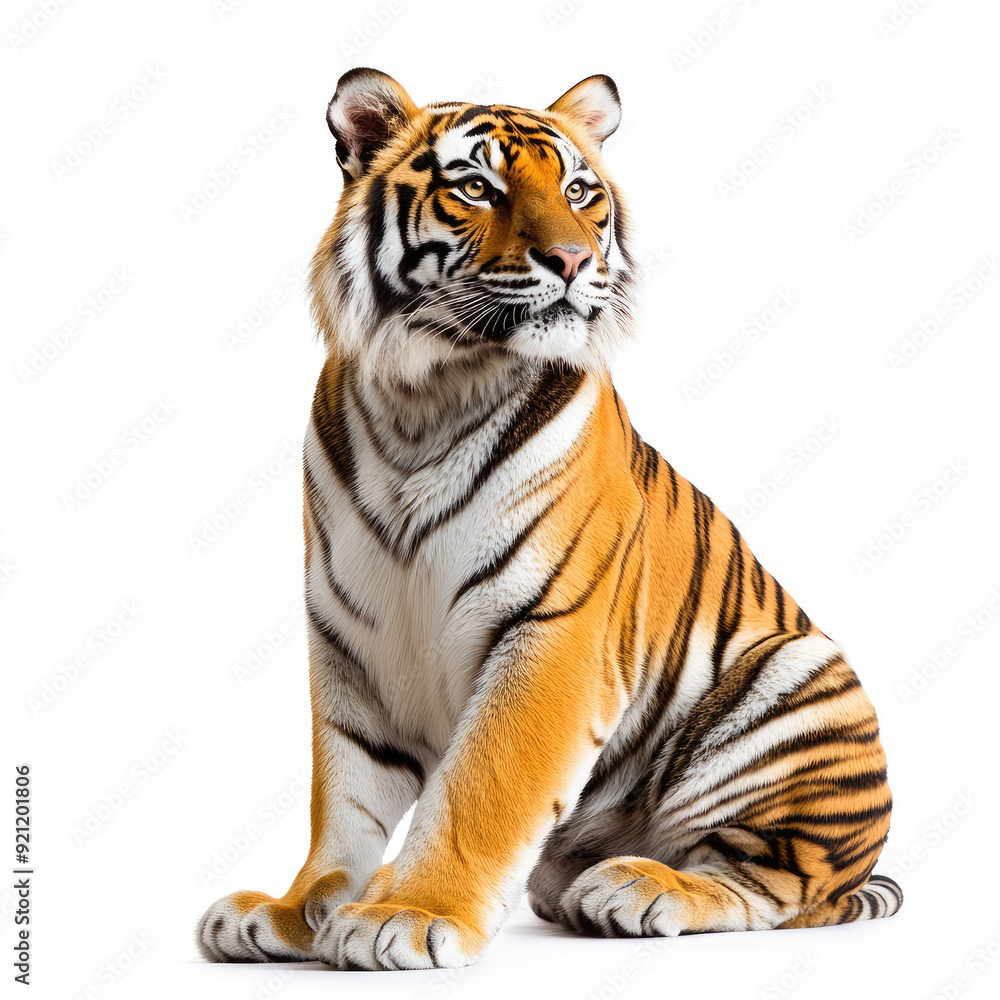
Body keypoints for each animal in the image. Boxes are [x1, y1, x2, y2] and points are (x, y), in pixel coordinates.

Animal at [196, 68, 901, 971]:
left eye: (579, 193)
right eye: (476, 188)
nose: (571, 259)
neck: (426, 396)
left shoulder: (552, 631)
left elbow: (480, 788)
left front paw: (408, 915)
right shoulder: (351, 645)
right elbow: (344, 800)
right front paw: (299, 912)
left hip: (797, 682)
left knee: (778, 885)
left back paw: (640, 888)